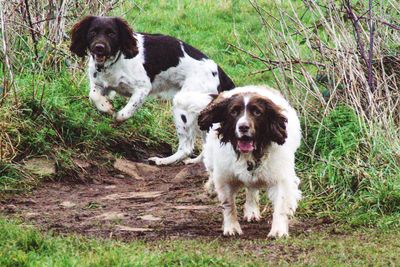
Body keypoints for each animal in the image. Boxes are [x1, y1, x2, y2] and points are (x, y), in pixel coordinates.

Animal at [67, 16, 233, 165]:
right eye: (92, 32)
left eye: (112, 33)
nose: (99, 47)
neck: (114, 62)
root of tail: (220, 73)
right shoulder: (100, 84)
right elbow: (93, 95)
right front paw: (106, 107)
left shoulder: (143, 88)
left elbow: (125, 113)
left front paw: (115, 116)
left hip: (183, 105)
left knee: (186, 147)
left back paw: (162, 161)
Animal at [198, 86, 302, 239]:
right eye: (234, 111)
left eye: (257, 112)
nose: (243, 127)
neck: (250, 155)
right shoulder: (224, 177)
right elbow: (228, 205)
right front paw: (232, 228)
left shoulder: (281, 177)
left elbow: (281, 205)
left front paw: (278, 231)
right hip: (211, 159)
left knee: (252, 189)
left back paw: (252, 211)